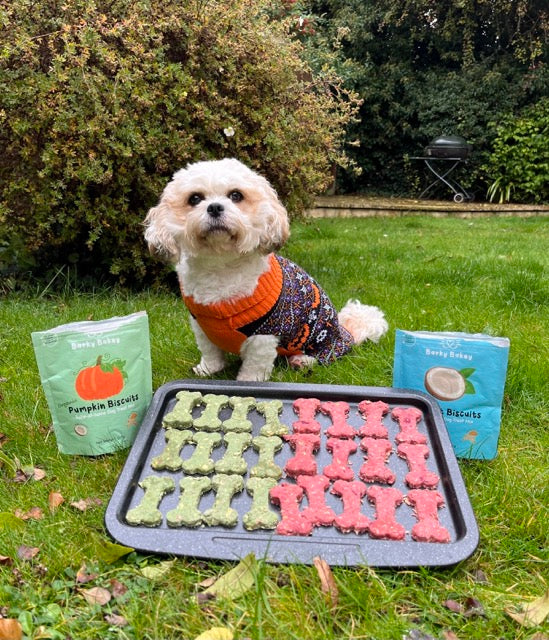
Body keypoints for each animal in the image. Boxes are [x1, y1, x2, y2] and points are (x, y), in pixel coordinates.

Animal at [143, 159, 388, 380]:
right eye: (194, 198)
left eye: (236, 195)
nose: (214, 207)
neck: (221, 267)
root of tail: (346, 332)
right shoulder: (201, 325)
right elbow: (210, 352)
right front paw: (208, 370)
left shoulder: (264, 333)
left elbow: (255, 363)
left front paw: (248, 381)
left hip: (320, 336)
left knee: (325, 354)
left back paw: (302, 360)